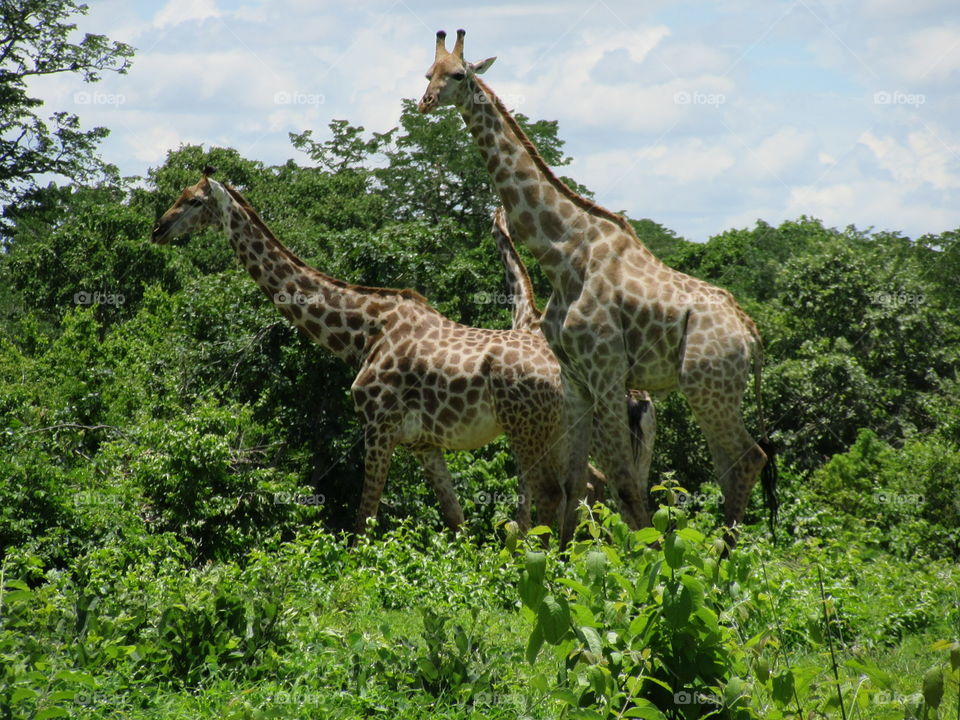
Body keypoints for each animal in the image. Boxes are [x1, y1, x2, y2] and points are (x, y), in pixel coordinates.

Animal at [153, 168, 582, 537]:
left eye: (193, 201)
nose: (158, 229)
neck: (363, 334)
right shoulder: (424, 443)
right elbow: (455, 519)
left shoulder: (379, 426)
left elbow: (364, 521)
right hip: (559, 432)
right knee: (570, 500)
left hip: (527, 428)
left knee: (550, 497)